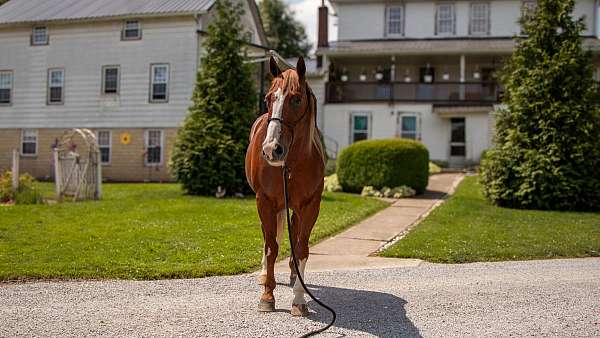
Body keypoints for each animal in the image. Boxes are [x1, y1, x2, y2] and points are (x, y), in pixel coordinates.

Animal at [245, 55, 326, 316]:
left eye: (297, 99)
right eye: (268, 99)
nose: (272, 149)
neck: (291, 163)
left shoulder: (309, 206)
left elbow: (301, 248)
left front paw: (299, 299)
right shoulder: (265, 202)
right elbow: (271, 247)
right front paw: (267, 296)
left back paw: (292, 274)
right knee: (269, 239)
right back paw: (264, 275)